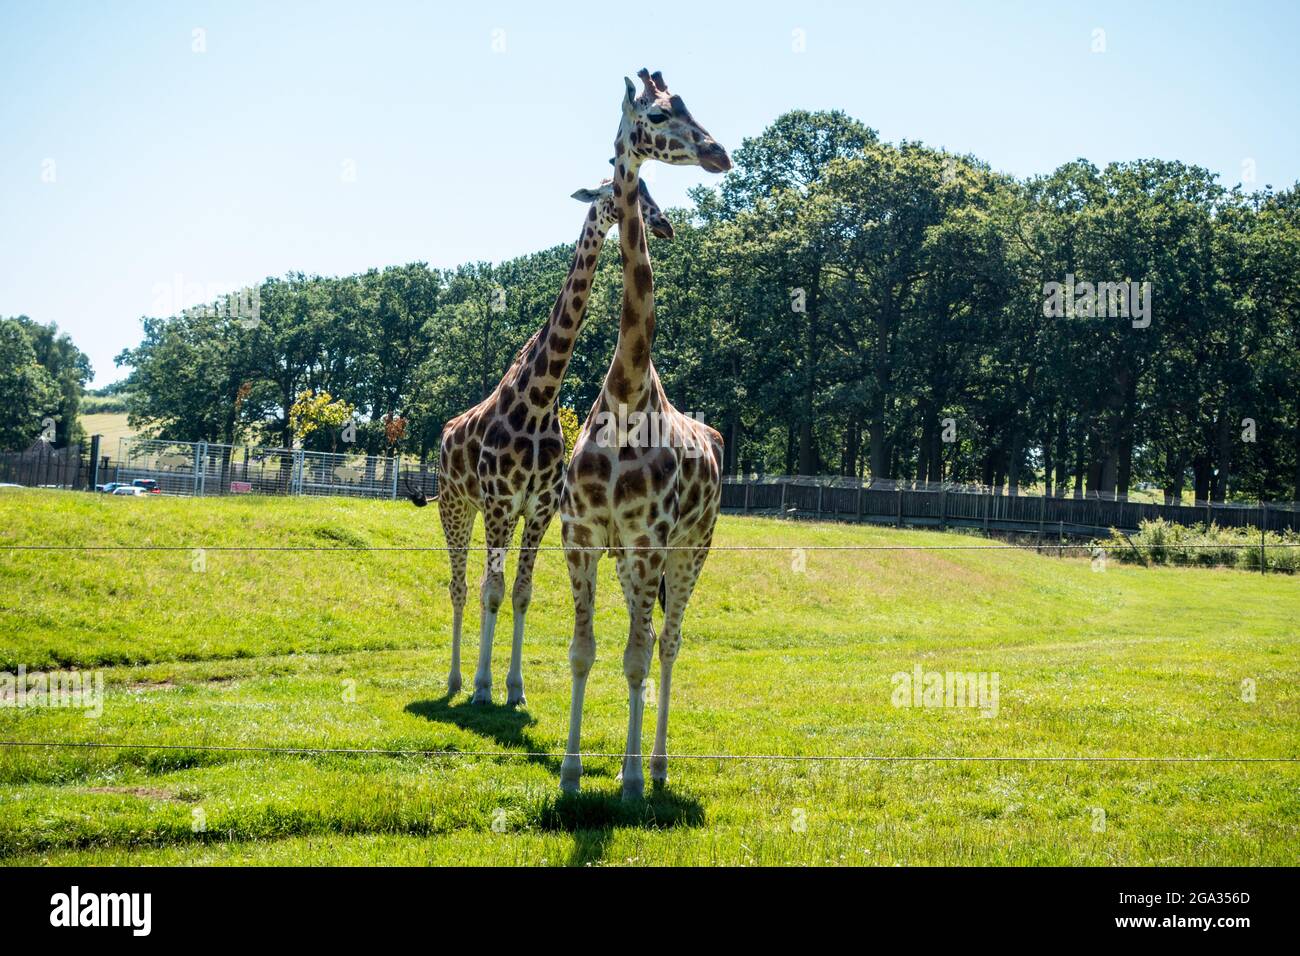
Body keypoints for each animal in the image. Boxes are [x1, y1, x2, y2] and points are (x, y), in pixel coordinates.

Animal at [421, 175, 676, 707]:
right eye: (620, 192)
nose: (662, 223)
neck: (540, 398)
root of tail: (445, 435)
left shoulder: (538, 510)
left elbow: (520, 593)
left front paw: (514, 689)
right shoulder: (500, 505)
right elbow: (491, 590)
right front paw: (482, 687)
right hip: (455, 505)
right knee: (459, 586)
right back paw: (454, 681)